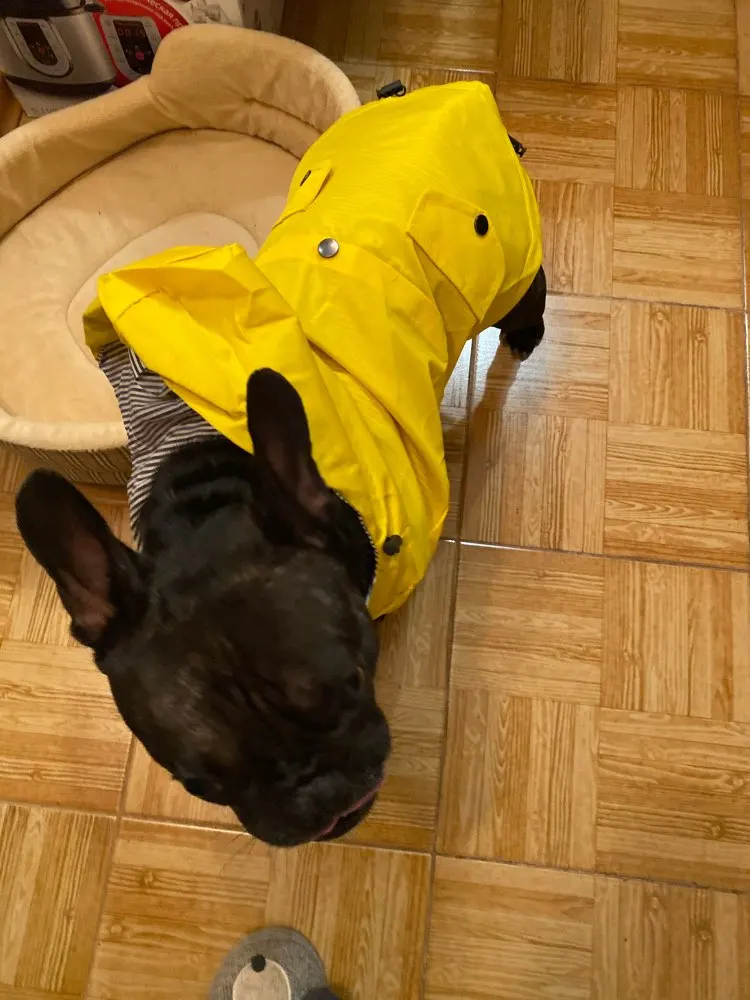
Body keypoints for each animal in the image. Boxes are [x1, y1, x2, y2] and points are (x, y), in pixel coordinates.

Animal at [16, 81, 545, 847]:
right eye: (199, 783)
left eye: (354, 682)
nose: (320, 796)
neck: (206, 478)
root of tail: (445, 91)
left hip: (507, 259)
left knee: (530, 289)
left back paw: (529, 331)